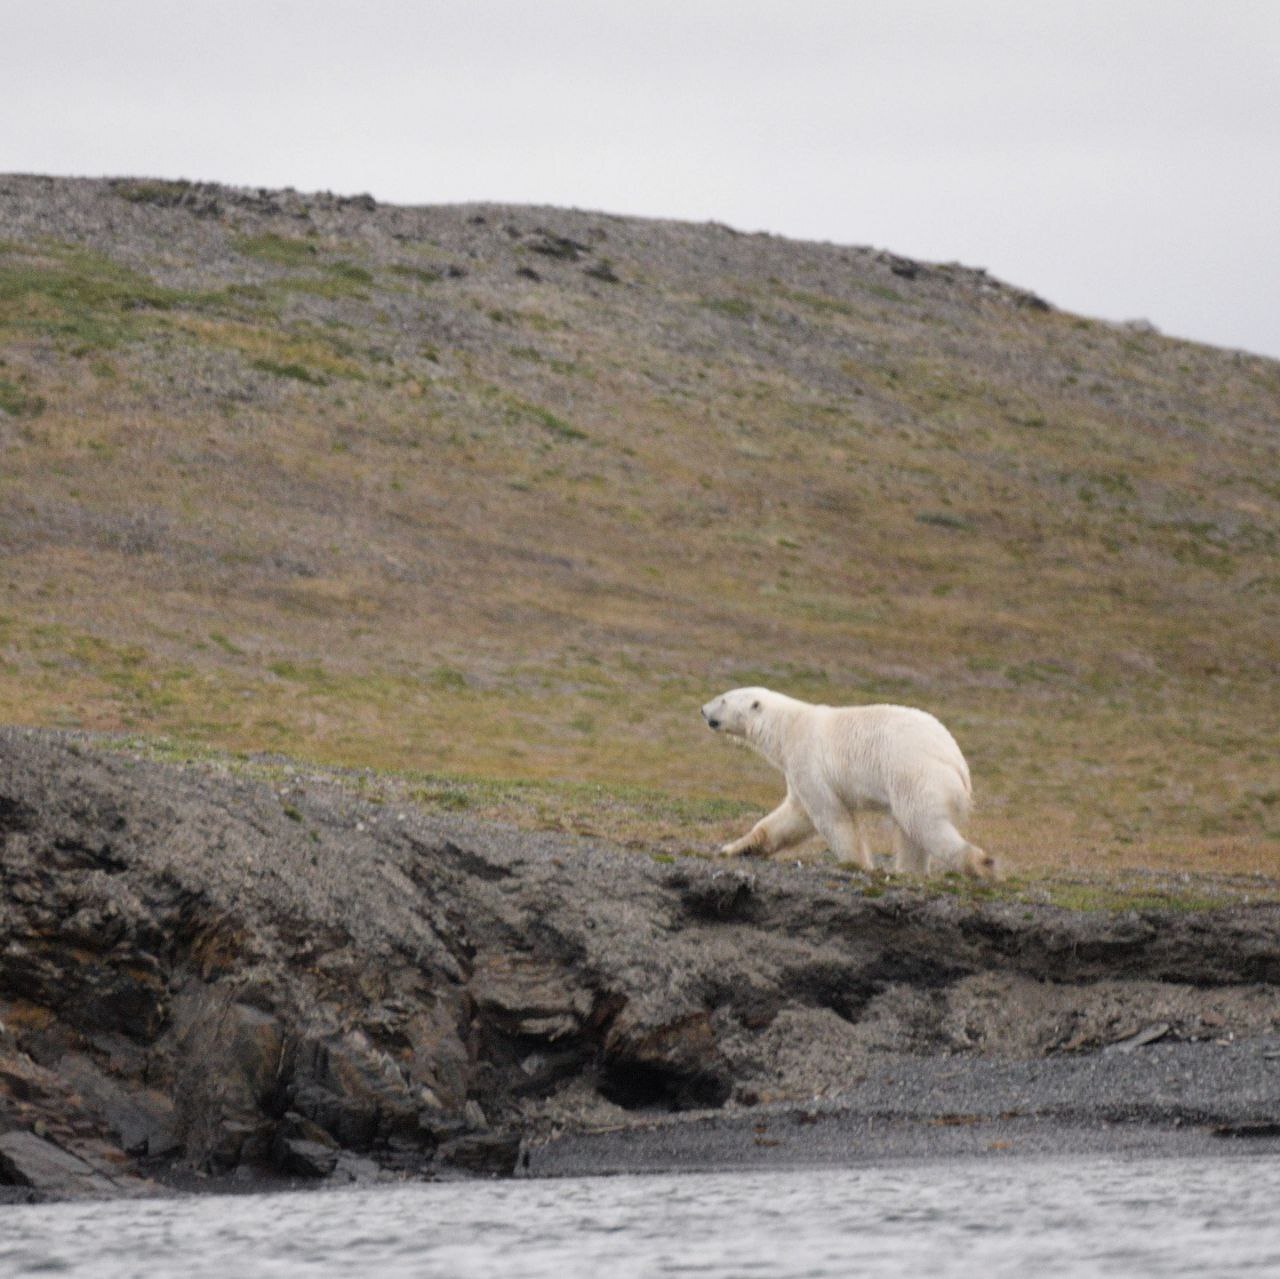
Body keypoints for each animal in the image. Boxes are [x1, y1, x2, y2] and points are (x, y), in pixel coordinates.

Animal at [706, 691, 993, 880]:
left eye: (723, 699)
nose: (703, 710)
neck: (788, 726)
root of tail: (958, 763)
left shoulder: (808, 757)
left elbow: (830, 816)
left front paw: (859, 864)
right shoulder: (797, 773)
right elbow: (793, 817)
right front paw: (736, 847)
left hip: (915, 774)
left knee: (924, 824)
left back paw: (980, 863)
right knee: (912, 832)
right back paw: (909, 871)